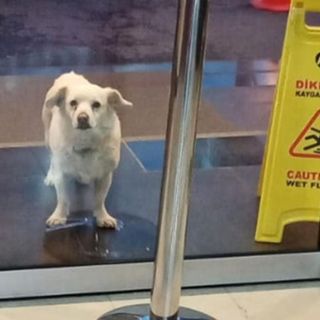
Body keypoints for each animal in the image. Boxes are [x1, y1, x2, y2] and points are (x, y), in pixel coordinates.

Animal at [42, 72, 132, 228]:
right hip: (48, 136)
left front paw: (102, 217)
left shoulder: (105, 176)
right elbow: (63, 198)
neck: (85, 140)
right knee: (52, 159)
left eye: (96, 105)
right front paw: (59, 216)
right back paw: (50, 176)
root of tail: (69, 74)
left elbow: (99, 199)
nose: (82, 117)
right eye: (73, 103)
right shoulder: (62, 175)